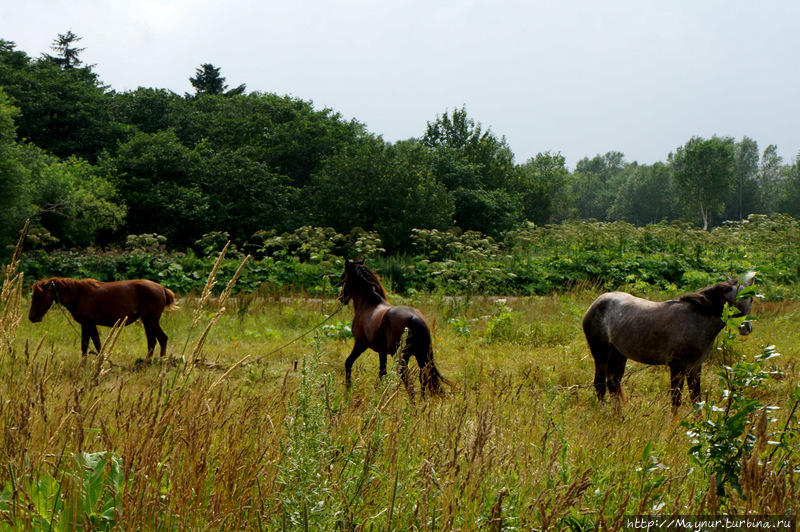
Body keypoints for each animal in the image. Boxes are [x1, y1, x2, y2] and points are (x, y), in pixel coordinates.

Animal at [29, 276, 178, 360]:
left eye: (39, 296)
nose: (31, 317)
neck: (79, 294)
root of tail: (161, 288)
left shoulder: (88, 323)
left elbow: (91, 346)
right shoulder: (88, 325)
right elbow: (92, 346)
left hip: (150, 321)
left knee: (160, 339)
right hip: (148, 322)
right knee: (154, 342)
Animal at [338, 258, 450, 394]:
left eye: (343, 277)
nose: (341, 298)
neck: (368, 305)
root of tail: (415, 318)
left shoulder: (360, 344)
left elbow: (348, 362)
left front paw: (348, 389)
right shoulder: (382, 351)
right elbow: (382, 373)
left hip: (403, 358)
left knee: (410, 384)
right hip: (422, 356)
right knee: (423, 379)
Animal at [584, 274, 752, 408]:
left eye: (751, 298)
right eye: (739, 298)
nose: (747, 328)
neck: (697, 319)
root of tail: (597, 302)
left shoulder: (695, 367)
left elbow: (696, 399)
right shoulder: (677, 366)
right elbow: (676, 400)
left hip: (618, 354)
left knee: (613, 384)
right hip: (600, 353)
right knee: (600, 385)